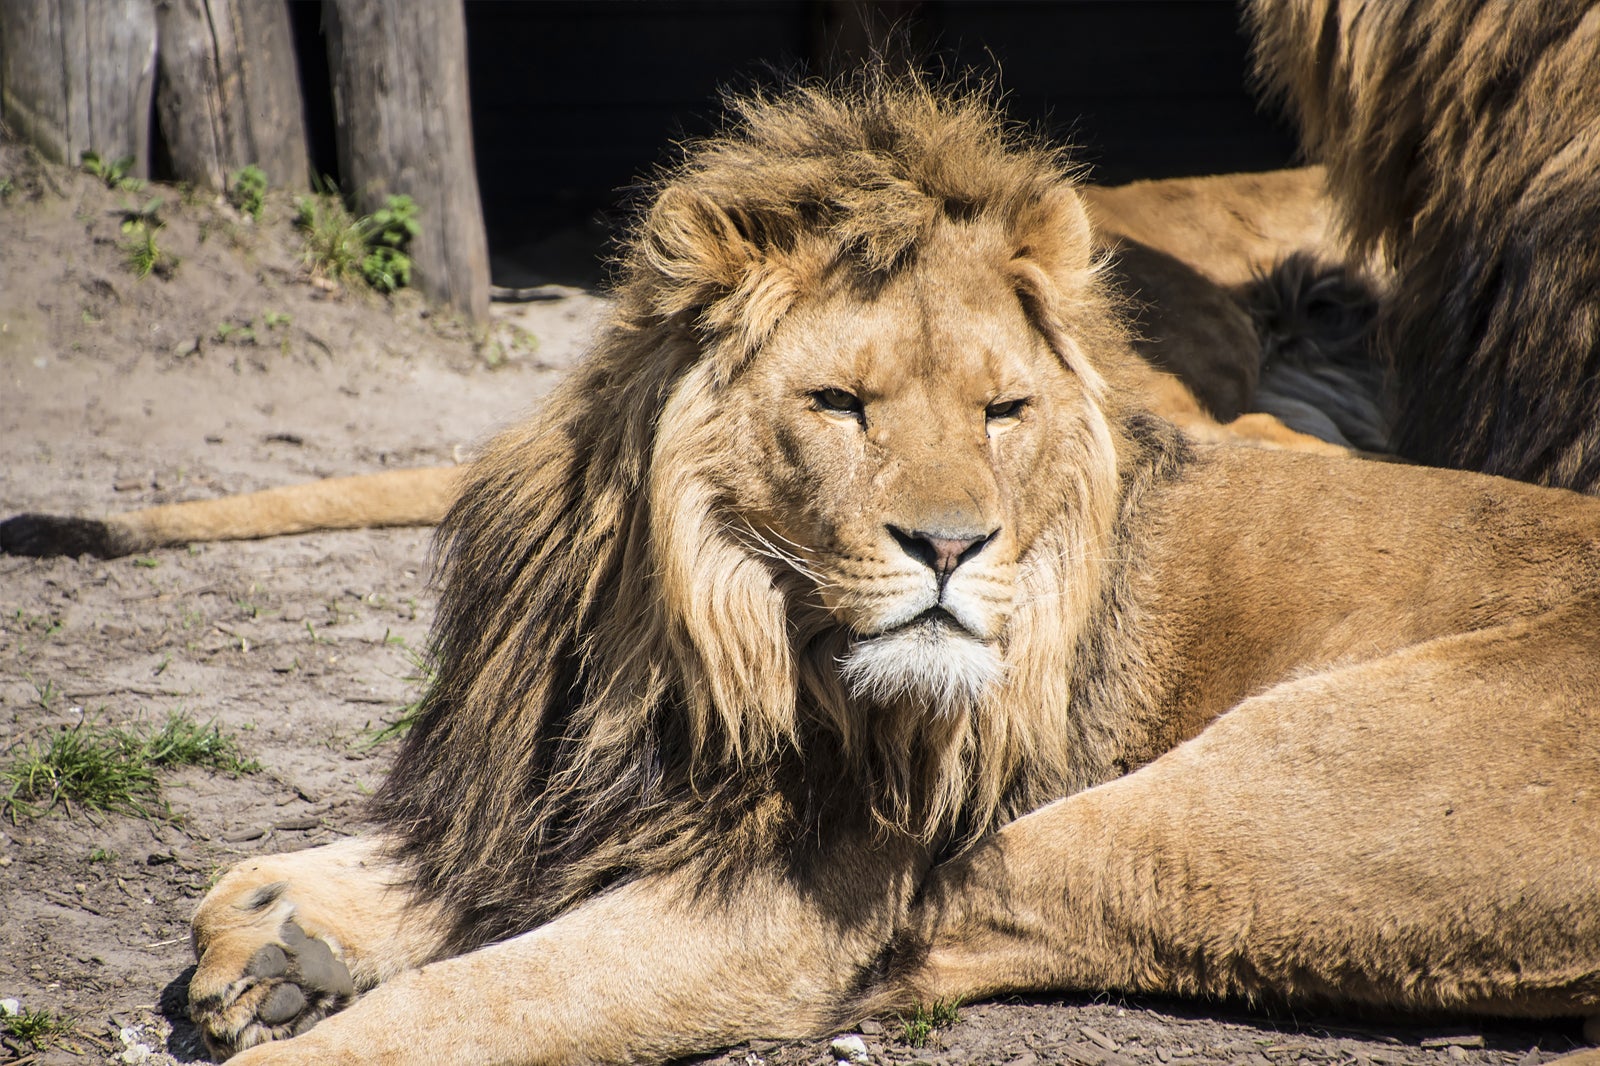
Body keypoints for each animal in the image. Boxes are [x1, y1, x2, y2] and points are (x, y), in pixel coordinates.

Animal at [175, 76, 1600, 1062]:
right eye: (841, 404)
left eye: (1003, 412)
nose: (953, 545)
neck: (709, 630)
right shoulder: (562, 791)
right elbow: (351, 870)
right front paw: (281, 928)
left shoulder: (787, 889)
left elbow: (481, 993)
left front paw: (316, 980)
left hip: (1213, 802)